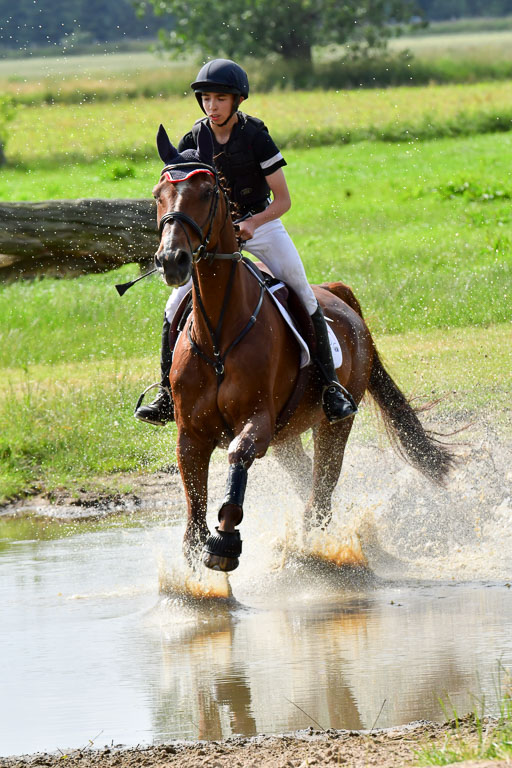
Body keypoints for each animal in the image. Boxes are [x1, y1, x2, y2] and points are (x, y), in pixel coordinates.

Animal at [152, 122, 453, 573]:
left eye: (206, 192)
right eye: (158, 195)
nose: (173, 260)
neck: (219, 337)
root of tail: (337, 294)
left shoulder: (256, 421)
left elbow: (237, 459)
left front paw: (225, 542)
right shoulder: (191, 435)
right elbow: (193, 516)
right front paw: (195, 571)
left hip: (333, 423)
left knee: (321, 493)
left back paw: (315, 550)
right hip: (286, 437)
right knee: (308, 483)